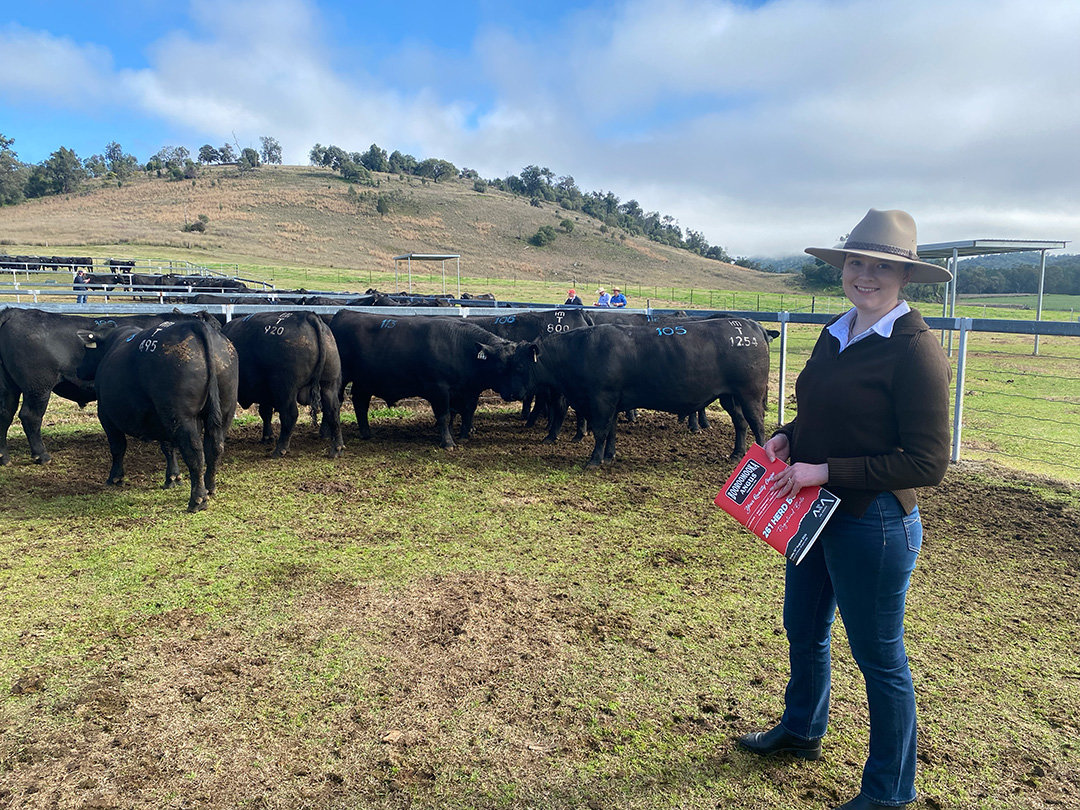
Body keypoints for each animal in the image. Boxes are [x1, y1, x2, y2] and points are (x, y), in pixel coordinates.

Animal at [75, 319, 239, 514]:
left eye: (87, 350)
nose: (78, 370)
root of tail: (194, 324)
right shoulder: (160, 418)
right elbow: (168, 447)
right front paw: (172, 477)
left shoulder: (106, 415)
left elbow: (118, 447)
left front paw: (115, 477)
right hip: (223, 410)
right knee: (215, 447)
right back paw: (209, 488)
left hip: (182, 416)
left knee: (195, 453)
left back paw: (197, 500)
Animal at [507, 319, 773, 468]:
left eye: (519, 366)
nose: (509, 393)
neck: (580, 350)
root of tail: (753, 326)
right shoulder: (612, 402)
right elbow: (611, 431)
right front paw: (609, 456)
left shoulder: (601, 400)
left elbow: (601, 431)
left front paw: (594, 460)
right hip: (730, 396)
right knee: (741, 423)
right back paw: (736, 454)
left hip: (750, 393)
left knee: (757, 424)